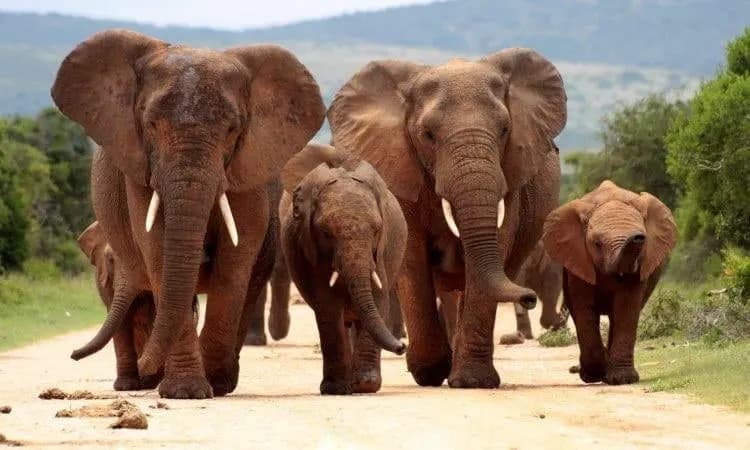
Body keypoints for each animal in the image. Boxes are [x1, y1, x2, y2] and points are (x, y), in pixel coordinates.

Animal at [77, 221, 199, 391]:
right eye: (110, 259)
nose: (73, 355)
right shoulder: (107, 281)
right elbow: (121, 321)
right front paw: (125, 386)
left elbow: (154, 318)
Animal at [280, 143, 407, 394]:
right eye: (326, 233)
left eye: (377, 230)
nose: (402, 346)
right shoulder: (310, 250)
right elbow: (328, 306)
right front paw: (336, 389)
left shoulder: (381, 252)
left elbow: (379, 298)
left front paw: (365, 386)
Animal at [328, 48, 566, 388]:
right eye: (427, 135)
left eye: (505, 130)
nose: (529, 297)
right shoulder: (400, 168)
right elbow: (412, 255)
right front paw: (429, 372)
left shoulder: (510, 177)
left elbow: (495, 245)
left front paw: (472, 382)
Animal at [542, 180, 677, 385]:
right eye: (597, 244)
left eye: (644, 241)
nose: (638, 237)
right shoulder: (579, 259)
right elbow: (584, 309)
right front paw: (593, 376)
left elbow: (626, 307)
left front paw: (622, 379)